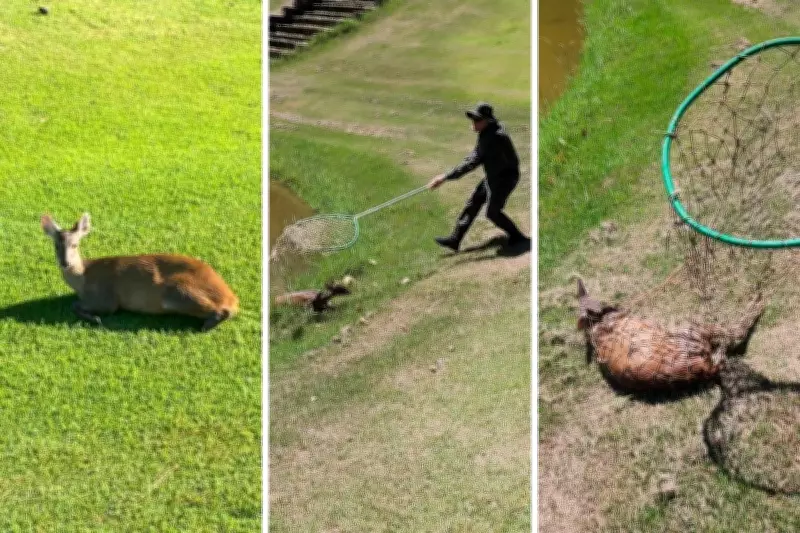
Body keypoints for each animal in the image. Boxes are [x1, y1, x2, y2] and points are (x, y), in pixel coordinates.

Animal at [41, 213, 239, 331]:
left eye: (75, 244)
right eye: (56, 246)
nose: (65, 262)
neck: (83, 280)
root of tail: (232, 297)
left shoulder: (106, 299)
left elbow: (75, 305)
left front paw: (95, 318)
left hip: (177, 291)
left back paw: (206, 325)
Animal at [576, 278, 765, 393]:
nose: (612, 305)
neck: (596, 324)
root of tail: (704, 366)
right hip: (693, 326)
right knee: (734, 332)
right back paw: (757, 299)